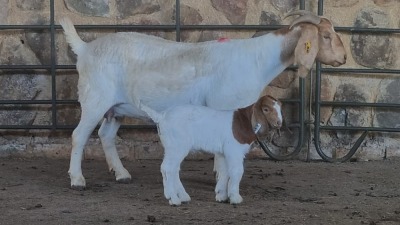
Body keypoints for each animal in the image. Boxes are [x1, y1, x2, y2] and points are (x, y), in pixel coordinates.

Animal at [60, 10, 346, 190]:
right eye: (326, 36)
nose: (343, 59)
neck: (257, 60)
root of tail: (85, 48)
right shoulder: (226, 106)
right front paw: (223, 179)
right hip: (94, 100)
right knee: (79, 136)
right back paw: (77, 180)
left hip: (116, 108)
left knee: (106, 135)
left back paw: (121, 174)